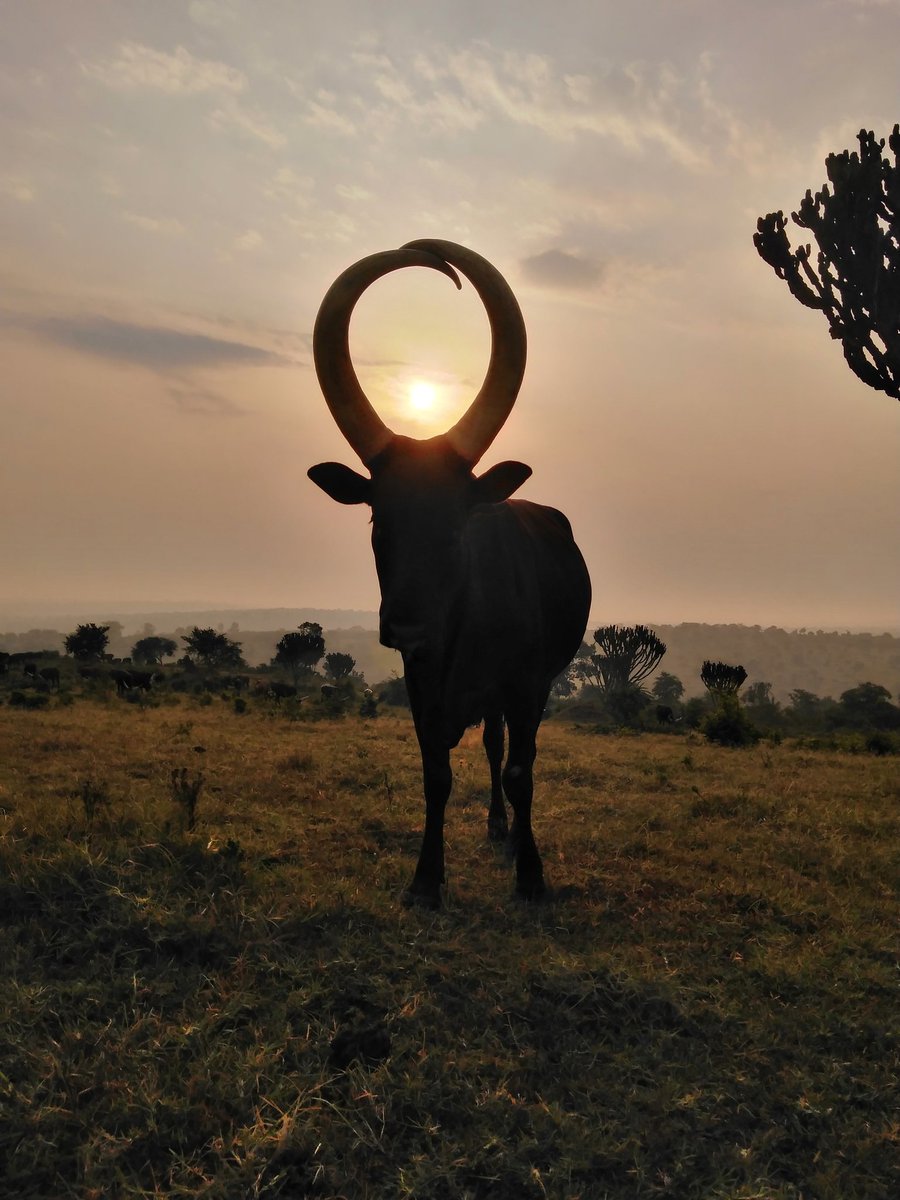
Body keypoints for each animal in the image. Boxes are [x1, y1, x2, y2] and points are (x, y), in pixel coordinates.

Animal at [309, 238, 592, 902]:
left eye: (458, 523)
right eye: (377, 519)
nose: (407, 627)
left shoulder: (528, 684)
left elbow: (521, 771)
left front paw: (530, 875)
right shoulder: (423, 686)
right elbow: (436, 773)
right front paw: (426, 879)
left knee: (504, 751)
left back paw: (507, 832)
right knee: (488, 745)